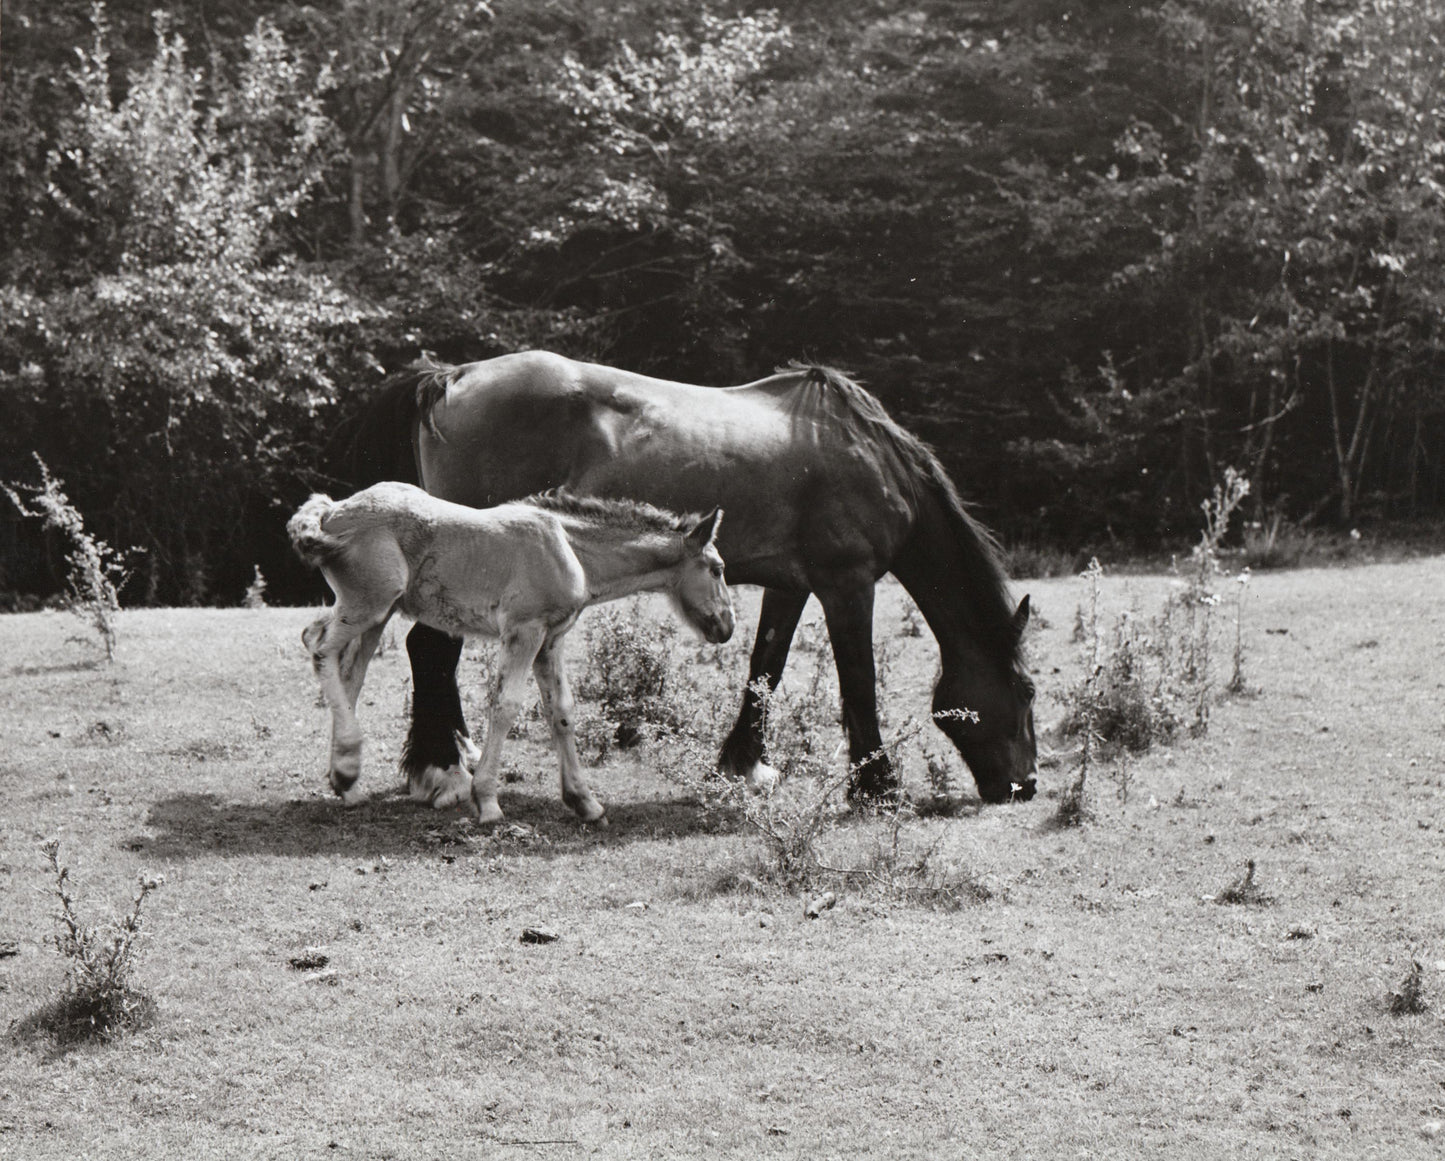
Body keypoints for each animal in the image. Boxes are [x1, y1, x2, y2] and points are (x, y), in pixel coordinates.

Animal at [286, 480, 728, 827]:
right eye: (718, 569)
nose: (727, 626)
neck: (570, 549)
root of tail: (332, 510)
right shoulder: (523, 631)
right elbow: (505, 706)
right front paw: (487, 801)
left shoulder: (550, 640)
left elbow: (561, 712)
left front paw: (585, 803)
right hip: (369, 603)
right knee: (316, 643)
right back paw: (347, 769)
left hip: (379, 613)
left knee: (350, 673)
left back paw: (346, 782)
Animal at [343, 349, 1034, 809]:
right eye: (1026, 693)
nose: (1025, 786)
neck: (864, 455)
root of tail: (450, 377)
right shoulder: (848, 583)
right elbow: (858, 683)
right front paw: (878, 787)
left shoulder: (792, 584)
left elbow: (765, 668)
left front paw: (743, 766)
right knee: (429, 648)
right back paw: (443, 774)